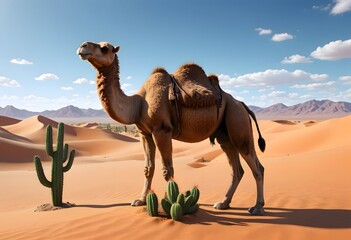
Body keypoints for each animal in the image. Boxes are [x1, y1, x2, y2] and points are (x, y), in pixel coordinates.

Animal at [77, 41, 266, 216]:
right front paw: (140, 200)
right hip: (224, 134)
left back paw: (257, 207)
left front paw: (170, 204)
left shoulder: (162, 130)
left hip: (237, 120)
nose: (82, 47)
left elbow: (167, 169)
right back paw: (223, 203)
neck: (138, 103)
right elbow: (148, 168)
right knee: (237, 169)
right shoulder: (145, 133)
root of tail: (242, 104)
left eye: (104, 48)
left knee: (257, 167)